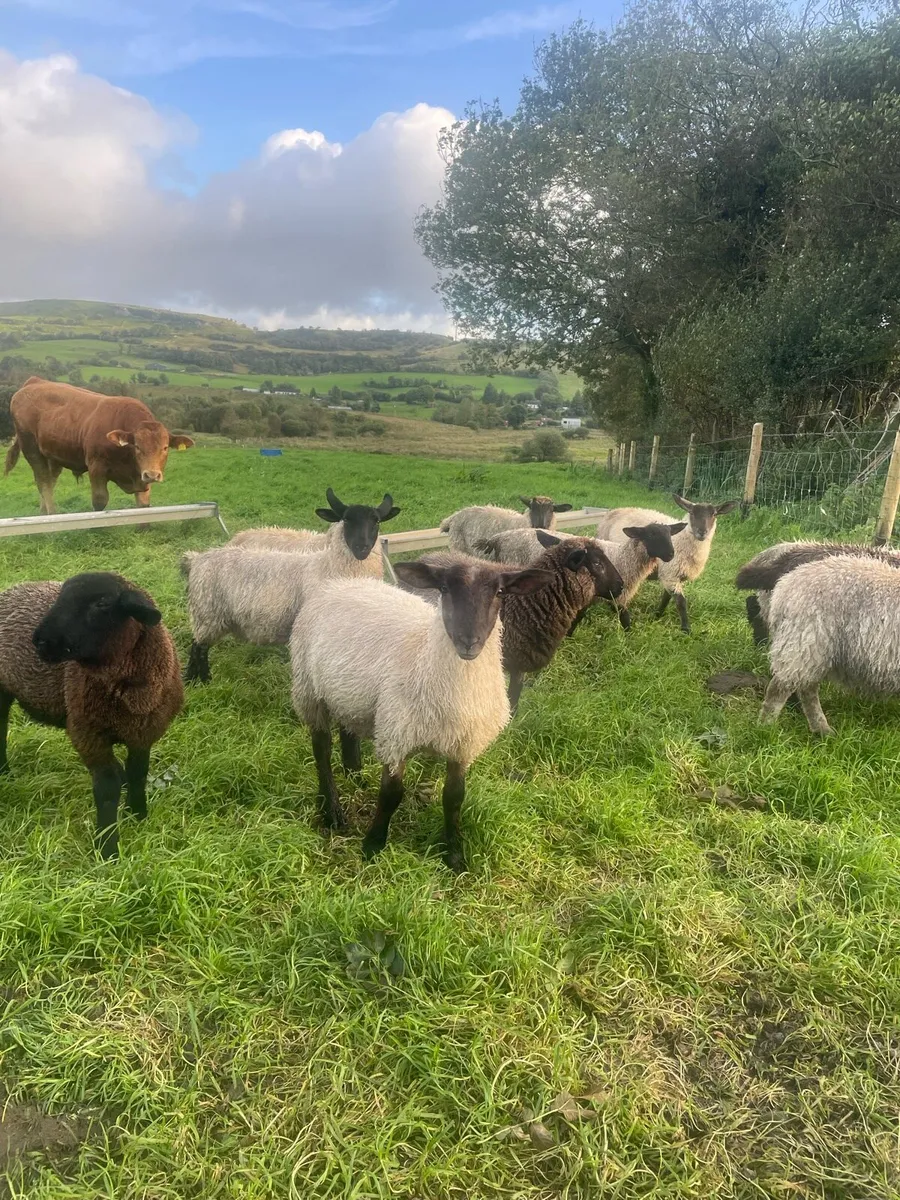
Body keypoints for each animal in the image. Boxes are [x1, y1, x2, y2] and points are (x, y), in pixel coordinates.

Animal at [0, 571, 182, 858]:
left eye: (103, 603)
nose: (39, 640)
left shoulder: (144, 732)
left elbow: (138, 773)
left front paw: (137, 814)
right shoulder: (88, 733)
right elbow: (106, 788)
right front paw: (107, 848)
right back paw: (4, 773)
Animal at [182, 487, 400, 683]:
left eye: (376, 521)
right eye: (346, 519)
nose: (361, 548)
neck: (327, 564)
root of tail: (197, 559)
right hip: (207, 614)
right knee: (198, 647)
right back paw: (198, 680)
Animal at [290, 557, 554, 871]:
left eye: (500, 592)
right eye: (444, 588)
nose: (468, 642)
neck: (425, 653)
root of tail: (344, 582)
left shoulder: (462, 745)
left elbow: (454, 798)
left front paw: (455, 856)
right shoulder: (397, 735)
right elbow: (391, 795)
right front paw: (373, 845)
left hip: (350, 693)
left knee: (347, 728)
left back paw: (353, 772)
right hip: (309, 688)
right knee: (321, 749)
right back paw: (331, 810)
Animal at [595, 494, 739, 633]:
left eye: (714, 514)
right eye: (692, 513)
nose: (702, 532)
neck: (684, 540)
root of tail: (614, 511)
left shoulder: (675, 576)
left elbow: (666, 597)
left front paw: (657, 615)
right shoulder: (671, 573)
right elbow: (681, 602)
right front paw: (686, 629)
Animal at [756, 554, 900, 734]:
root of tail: (784, 587)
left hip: (810, 648)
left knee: (806, 688)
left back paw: (821, 730)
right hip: (806, 641)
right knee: (780, 688)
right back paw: (766, 728)